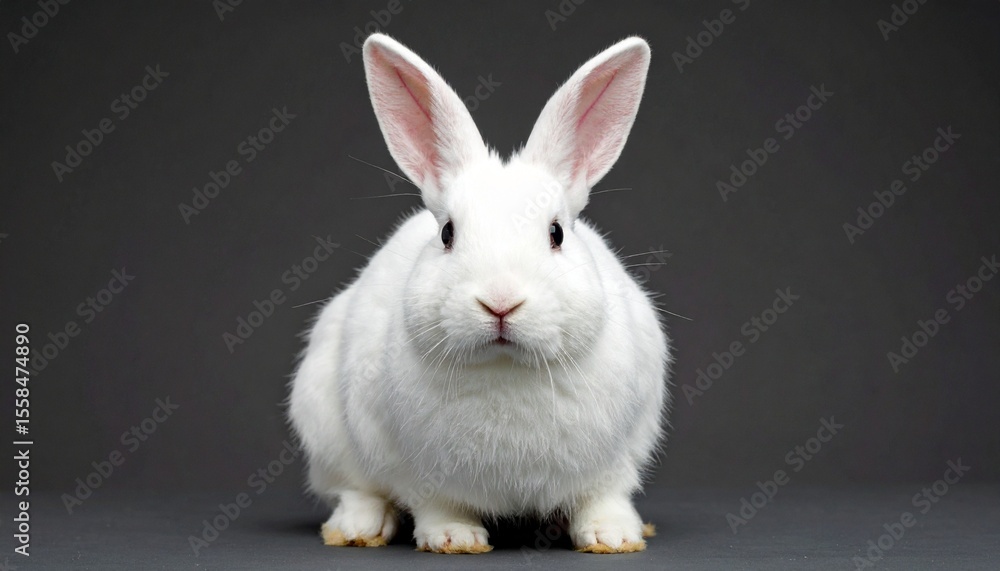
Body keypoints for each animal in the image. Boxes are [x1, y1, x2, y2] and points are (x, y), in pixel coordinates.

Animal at [288, 33, 670, 554]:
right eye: (447, 233)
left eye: (556, 233)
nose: (500, 302)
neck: (506, 365)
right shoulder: (415, 469)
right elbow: (435, 504)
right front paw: (454, 538)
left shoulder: (618, 458)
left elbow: (604, 495)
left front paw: (612, 537)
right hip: (323, 423)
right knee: (355, 488)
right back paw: (358, 529)